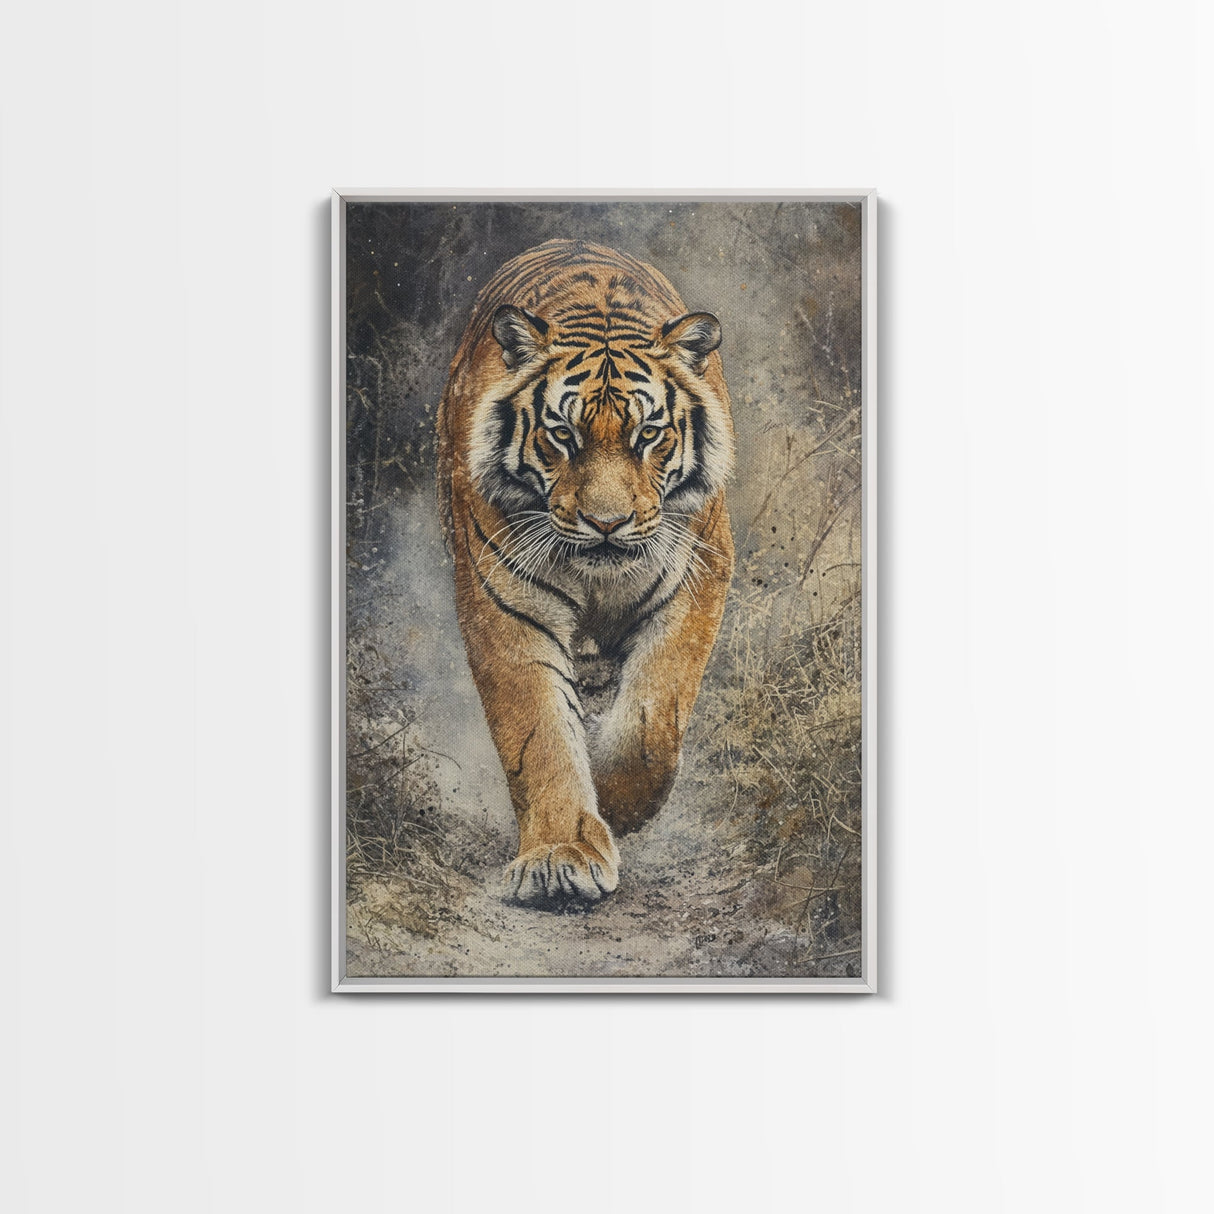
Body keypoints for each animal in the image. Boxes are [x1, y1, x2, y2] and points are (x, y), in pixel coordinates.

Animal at [436, 238, 735, 907]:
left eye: (648, 433)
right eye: (562, 435)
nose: (606, 522)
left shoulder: (696, 579)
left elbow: (652, 721)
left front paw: (618, 808)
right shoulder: (505, 603)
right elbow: (540, 732)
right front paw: (558, 858)